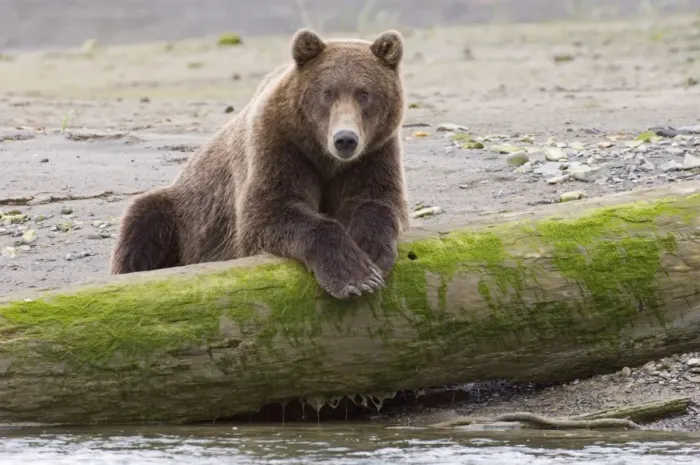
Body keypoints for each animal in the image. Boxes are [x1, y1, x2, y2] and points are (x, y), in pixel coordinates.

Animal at [109, 28, 410, 300]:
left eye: (364, 93)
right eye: (327, 93)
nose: (345, 139)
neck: (324, 157)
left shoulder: (373, 153)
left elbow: (375, 199)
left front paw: (371, 251)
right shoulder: (279, 147)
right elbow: (270, 211)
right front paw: (355, 277)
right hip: (185, 216)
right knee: (143, 221)